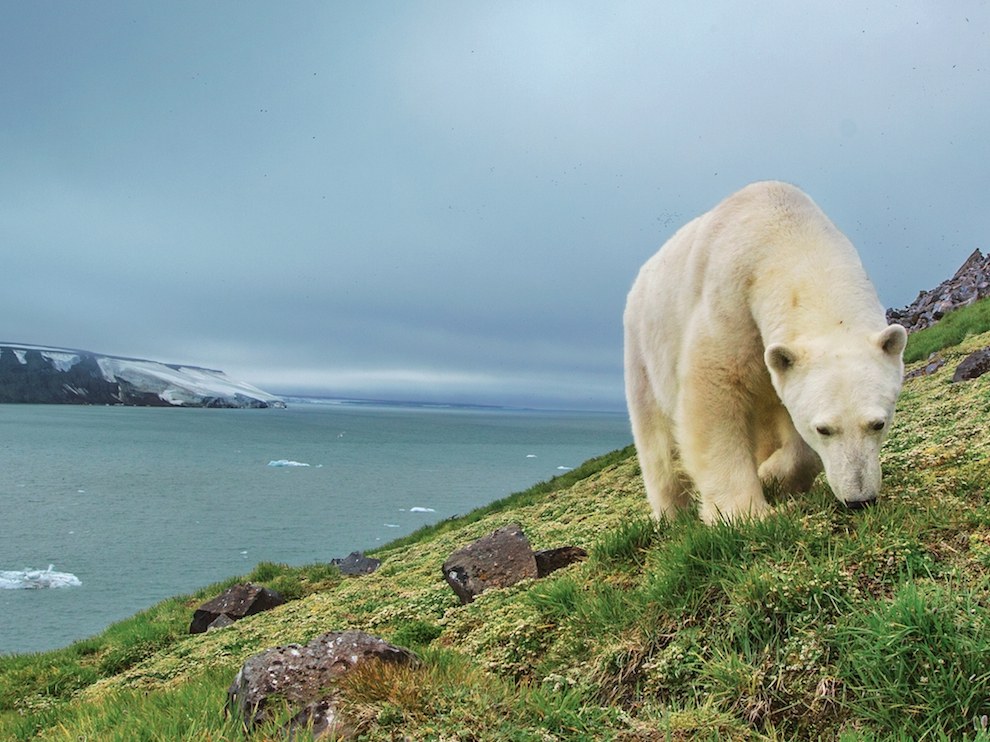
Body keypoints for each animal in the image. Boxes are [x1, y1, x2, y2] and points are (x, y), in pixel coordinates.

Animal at [628, 182, 908, 528]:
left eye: (878, 423)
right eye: (824, 429)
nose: (859, 499)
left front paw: (771, 476)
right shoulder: (729, 307)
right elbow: (712, 397)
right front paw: (743, 512)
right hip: (643, 349)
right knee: (655, 438)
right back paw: (670, 513)